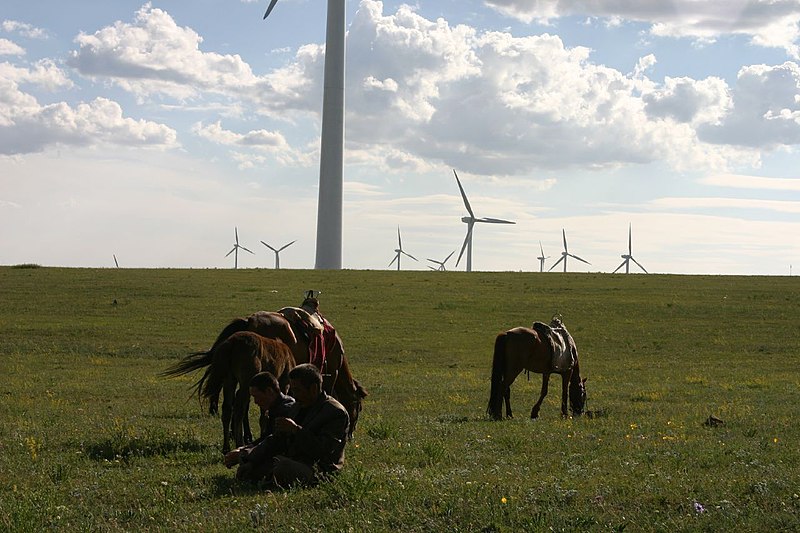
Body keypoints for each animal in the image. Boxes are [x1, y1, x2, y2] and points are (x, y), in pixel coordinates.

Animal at [161, 330, 296, 450]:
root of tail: (232, 342)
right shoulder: (283, 384)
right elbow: (264, 414)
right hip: (244, 384)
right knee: (239, 410)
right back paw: (239, 443)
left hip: (229, 380)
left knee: (227, 409)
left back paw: (226, 447)